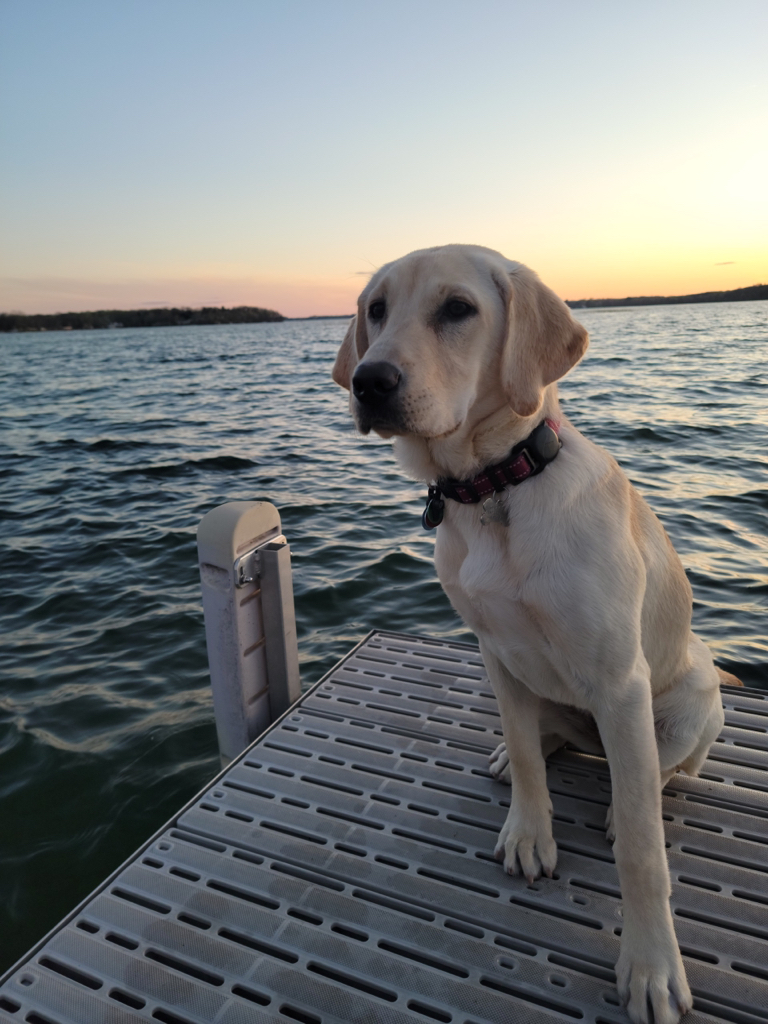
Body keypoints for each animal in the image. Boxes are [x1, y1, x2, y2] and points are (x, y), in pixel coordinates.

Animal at [333, 243, 741, 1019]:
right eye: (376, 309)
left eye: (457, 309)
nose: (370, 381)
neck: (496, 488)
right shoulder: (496, 651)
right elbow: (526, 754)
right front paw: (529, 830)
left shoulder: (619, 681)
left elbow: (641, 851)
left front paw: (650, 965)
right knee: (546, 737)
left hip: (694, 693)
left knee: (664, 771)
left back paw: (637, 791)